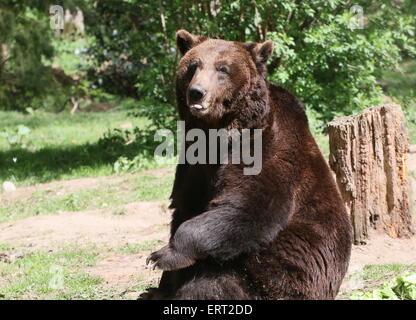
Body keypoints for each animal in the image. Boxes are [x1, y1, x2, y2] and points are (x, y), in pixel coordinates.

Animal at [144, 30, 352, 300]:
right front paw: (162, 281)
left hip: (278, 270)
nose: (197, 92)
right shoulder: (194, 162)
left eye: (222, 68)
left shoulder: (269, 144)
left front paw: (162, 255)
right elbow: (184, 203)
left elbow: (249, 204)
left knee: (217, 282)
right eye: (193, 66)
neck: (219, 132)